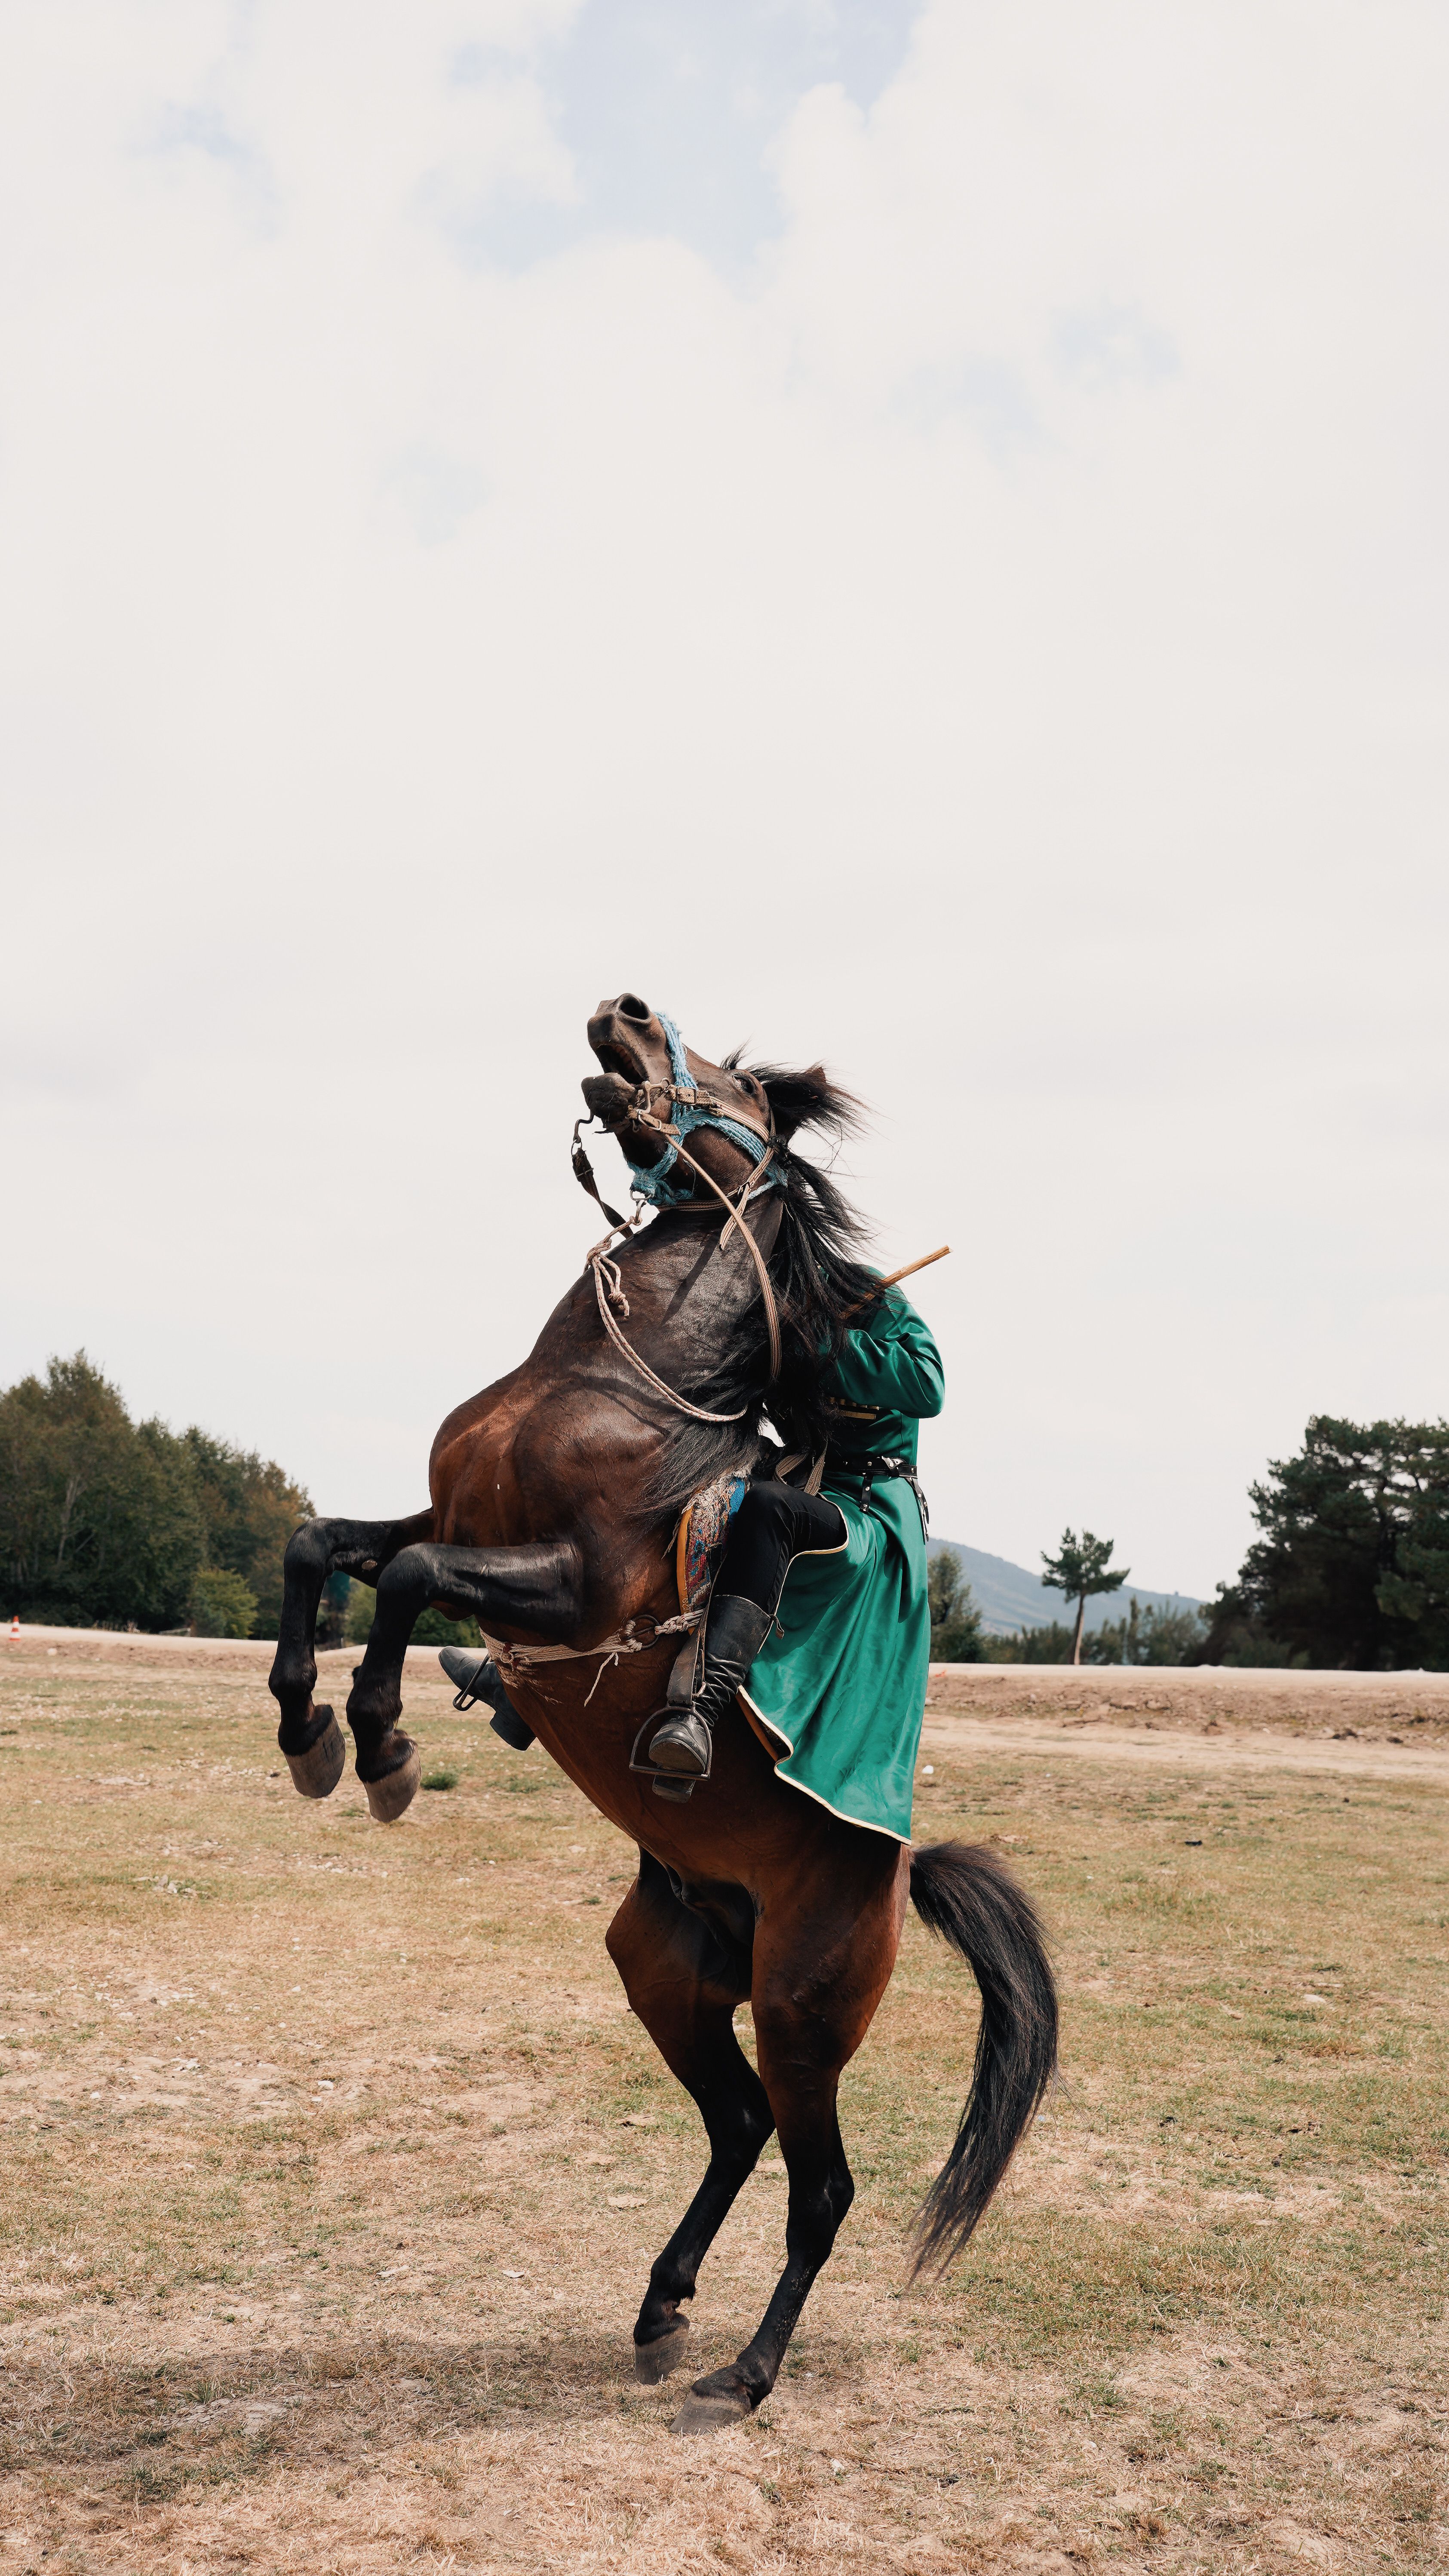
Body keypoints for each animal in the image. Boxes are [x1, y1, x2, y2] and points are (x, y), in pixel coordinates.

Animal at [267, 992, 1057, 2434]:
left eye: (741, 1082)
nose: (622, 1011)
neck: (604, 1383)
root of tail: (897, 1867)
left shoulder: (564, 1578)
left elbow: (399, 1578)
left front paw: (384, 1736)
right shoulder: (447, 1518)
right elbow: (322, 1544)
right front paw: (309, 1727)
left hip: (803, 2010)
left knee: (820, 2183)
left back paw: (743, 2370)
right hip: (669, 1970)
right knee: (738, 2125)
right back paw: (661, 2303)